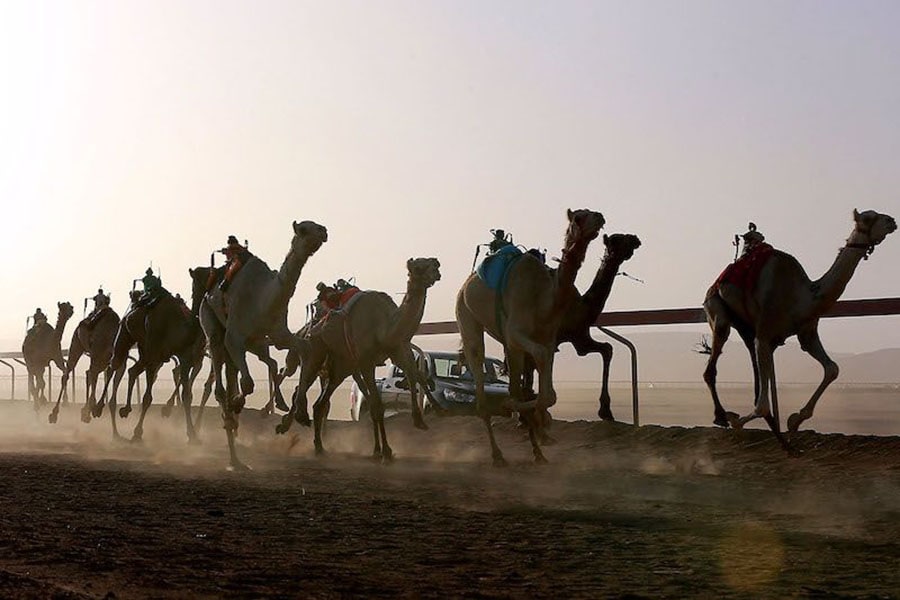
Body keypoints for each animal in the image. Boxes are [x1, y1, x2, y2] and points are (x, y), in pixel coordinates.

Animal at [201, 220, 330, 468]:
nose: (324, 231)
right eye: (304, 229)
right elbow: (248, 383)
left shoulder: (278, 335)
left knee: (260, 366)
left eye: (316, 226)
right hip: (211, 324)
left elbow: (304, 349)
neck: (264, 300)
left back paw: (236, 453)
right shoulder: (234, 336)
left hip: (256, 344)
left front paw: (297, 415)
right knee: (220, 382)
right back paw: (232, 435)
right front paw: (238, 404)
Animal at [276, 255, 442, 462]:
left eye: (431, 261)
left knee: (320, 404)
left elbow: (413, 374)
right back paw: (294, 420)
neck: (384, 327)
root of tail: (307, 328)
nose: (436, 267)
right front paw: (386, 452)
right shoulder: (365, 362)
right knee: (301, 381)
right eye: (419, 266)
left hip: (339, 368)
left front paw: (422, 420)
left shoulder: (397, 350)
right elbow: (377, 406)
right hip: (314, 352)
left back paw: (319, 446)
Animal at [458, 209, 604, 466]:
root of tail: (465, 285)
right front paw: (533, 418)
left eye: (591, 213)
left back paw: (536, 450)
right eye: (578, 217)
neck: (543, 301)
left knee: (515, 383)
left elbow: (550, 392)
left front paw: (540, 425)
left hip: (506, 342)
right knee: (478, 370)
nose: (599, 217)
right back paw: (498, 454)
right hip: (466, 316)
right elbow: (537, 364)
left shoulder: (548, 338)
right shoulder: (516, 333)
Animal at [708, 209, 896, 448]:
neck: (804, 296)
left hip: (745, 326)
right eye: (868, 218)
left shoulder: (806, 333)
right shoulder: (765, 333)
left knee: (754, 369)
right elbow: (762, 404)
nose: (892, 221)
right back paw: (721, 416)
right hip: (716, 308)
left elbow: (832, 368)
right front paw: (739, 422)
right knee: (712, 366)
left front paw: (794, 421)